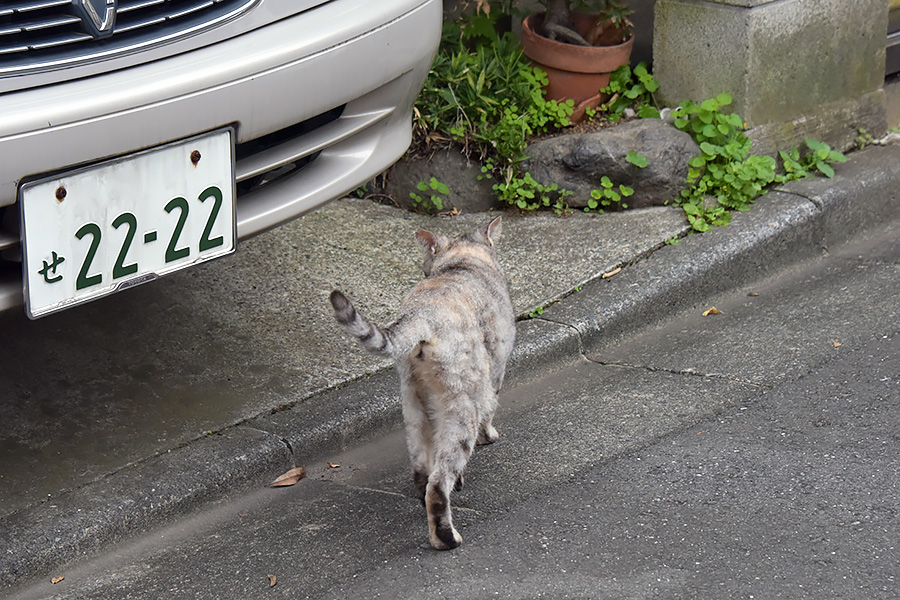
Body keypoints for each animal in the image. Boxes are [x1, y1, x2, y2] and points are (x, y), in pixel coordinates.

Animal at [328, 218, 512, 552]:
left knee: (423, 472)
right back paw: (446, 538)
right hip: (461, 402)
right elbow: (491, 408)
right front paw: (489, 436)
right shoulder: (497, 366)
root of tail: (422, 314)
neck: (463, 262)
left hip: (413, 402)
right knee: (438, 483)